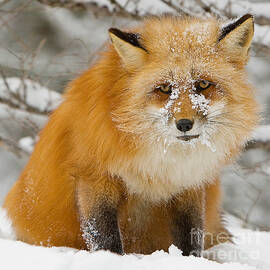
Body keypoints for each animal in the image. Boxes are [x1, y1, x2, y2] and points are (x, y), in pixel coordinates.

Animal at [3, 14, 258, 255]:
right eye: (165, 89)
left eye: (203, 84)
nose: (184, 124)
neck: (160, 163)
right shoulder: (94, 177)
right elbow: (104, 236)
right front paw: (111, 259)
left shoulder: (188, 184)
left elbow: (190, 236)